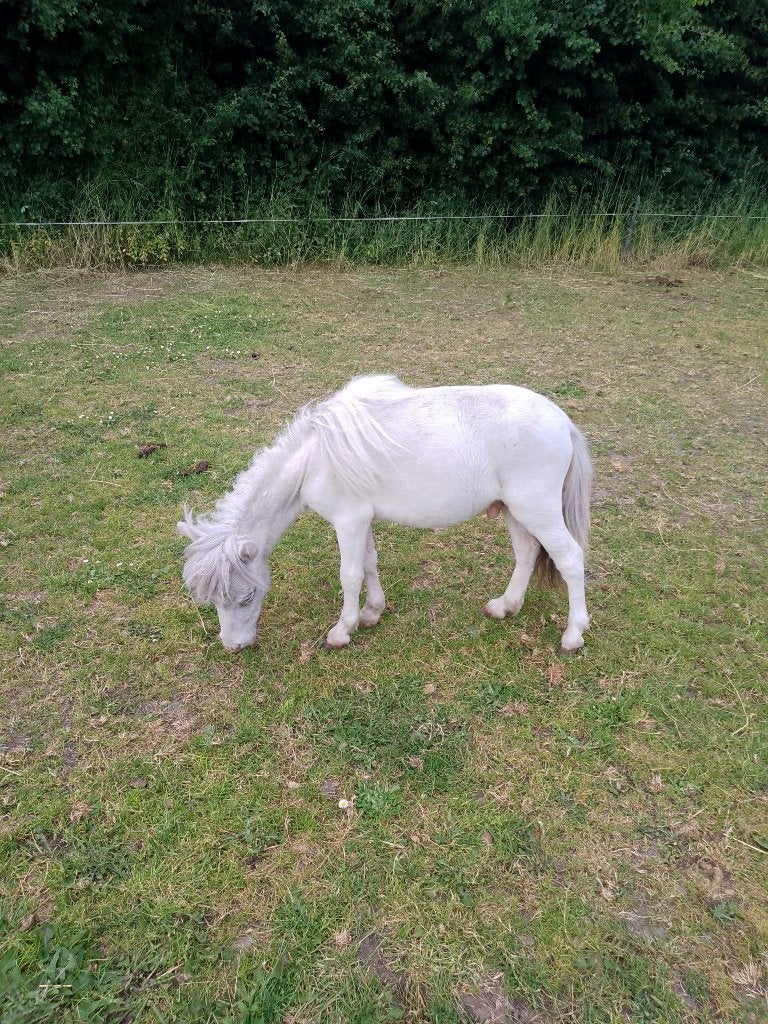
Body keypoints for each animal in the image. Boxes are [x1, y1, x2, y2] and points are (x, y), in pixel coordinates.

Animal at [178, 375, 592, 655]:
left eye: (247, 597)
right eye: (214, 601)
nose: (233, 645)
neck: (315, 459)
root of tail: (563, 422)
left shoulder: (348, 521)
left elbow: (349, 575)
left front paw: (342, 630)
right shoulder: (362, 520)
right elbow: (369, 563)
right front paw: (372, 612)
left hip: (535, 510)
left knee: (570, 559)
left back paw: (573, 635)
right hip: (515, 512)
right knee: (526, 555)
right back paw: (504, 606)